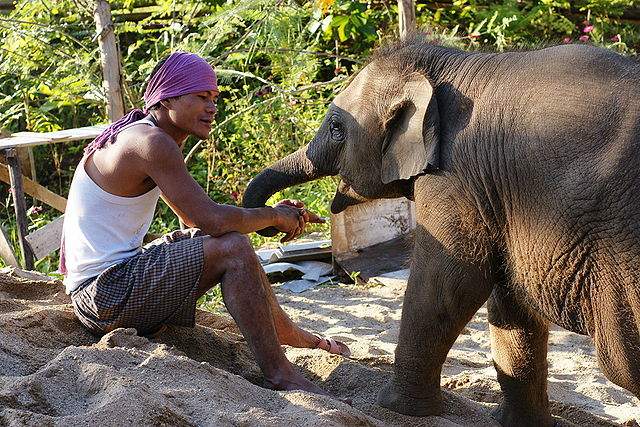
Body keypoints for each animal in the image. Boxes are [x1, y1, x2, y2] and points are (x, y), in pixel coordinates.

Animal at [242, 35, 640, 425]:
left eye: (337, 127)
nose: (287, 220)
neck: (448, 64)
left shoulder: (455, 179)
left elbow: (451, 280)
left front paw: (393, 407)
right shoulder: (496, 196)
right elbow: (507, 300)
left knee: (621, 363)